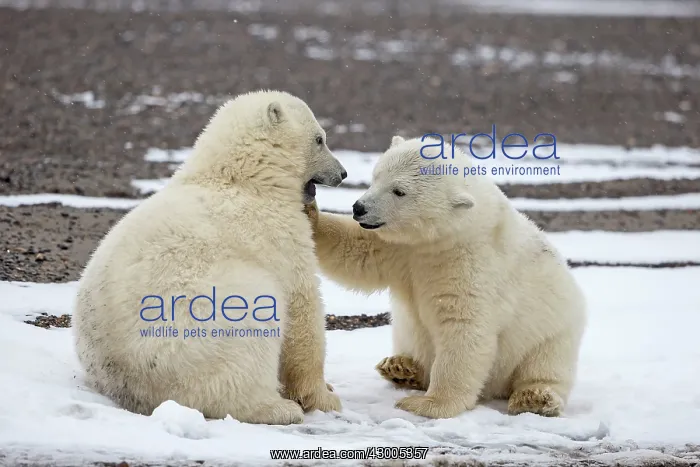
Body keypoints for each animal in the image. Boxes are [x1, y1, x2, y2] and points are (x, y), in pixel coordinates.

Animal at [73, 90, 345, 425]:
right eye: (320, 139)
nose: (343, 173)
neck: (243, 179)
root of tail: (134, 386)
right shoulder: (276, 233)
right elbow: (302, 305)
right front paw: (324, 397)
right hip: (200, 330)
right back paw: (277, 408)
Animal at [303, 135, 587, 419]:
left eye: (399, 191)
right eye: (376, 177)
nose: (359, 207)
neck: (445, 237)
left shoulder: (471, 263)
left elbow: (463, 327)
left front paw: (428, 404)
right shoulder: (403, 250)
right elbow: (359, 252)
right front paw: (312, 213)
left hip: (552, 335)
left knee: (544, 367)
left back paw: (534, 398)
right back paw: (401, 366)